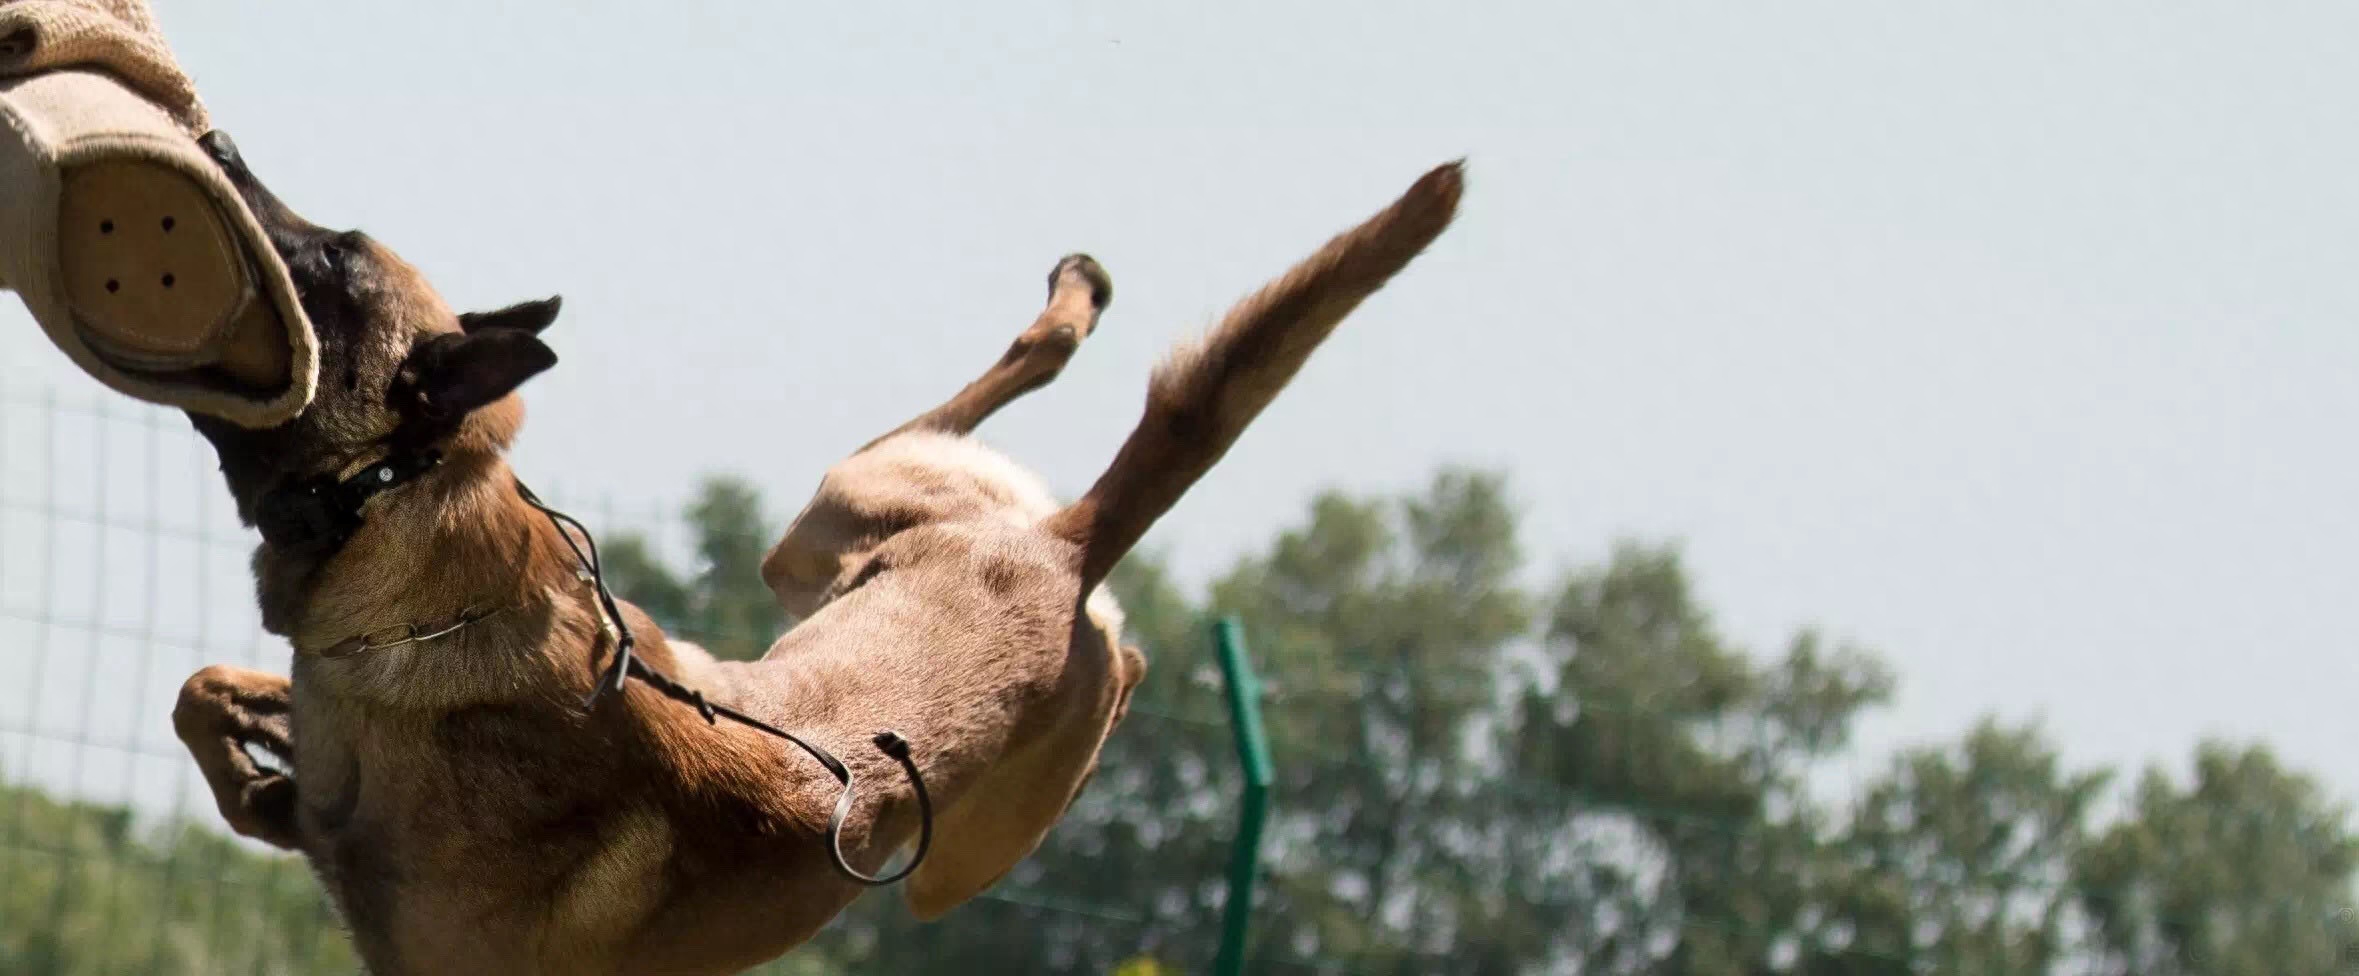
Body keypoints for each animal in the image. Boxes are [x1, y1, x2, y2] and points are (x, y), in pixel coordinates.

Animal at [171, 131, 1453, 976]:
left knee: (1117, 639)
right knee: (1003, 397)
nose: (214, 142)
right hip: (822, 526)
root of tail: (1057, 553)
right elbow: (202, 690)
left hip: (963, 852)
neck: (411, 540)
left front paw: (264, 788)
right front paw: (255, 785)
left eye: (332, 262)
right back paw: (1073, 300)